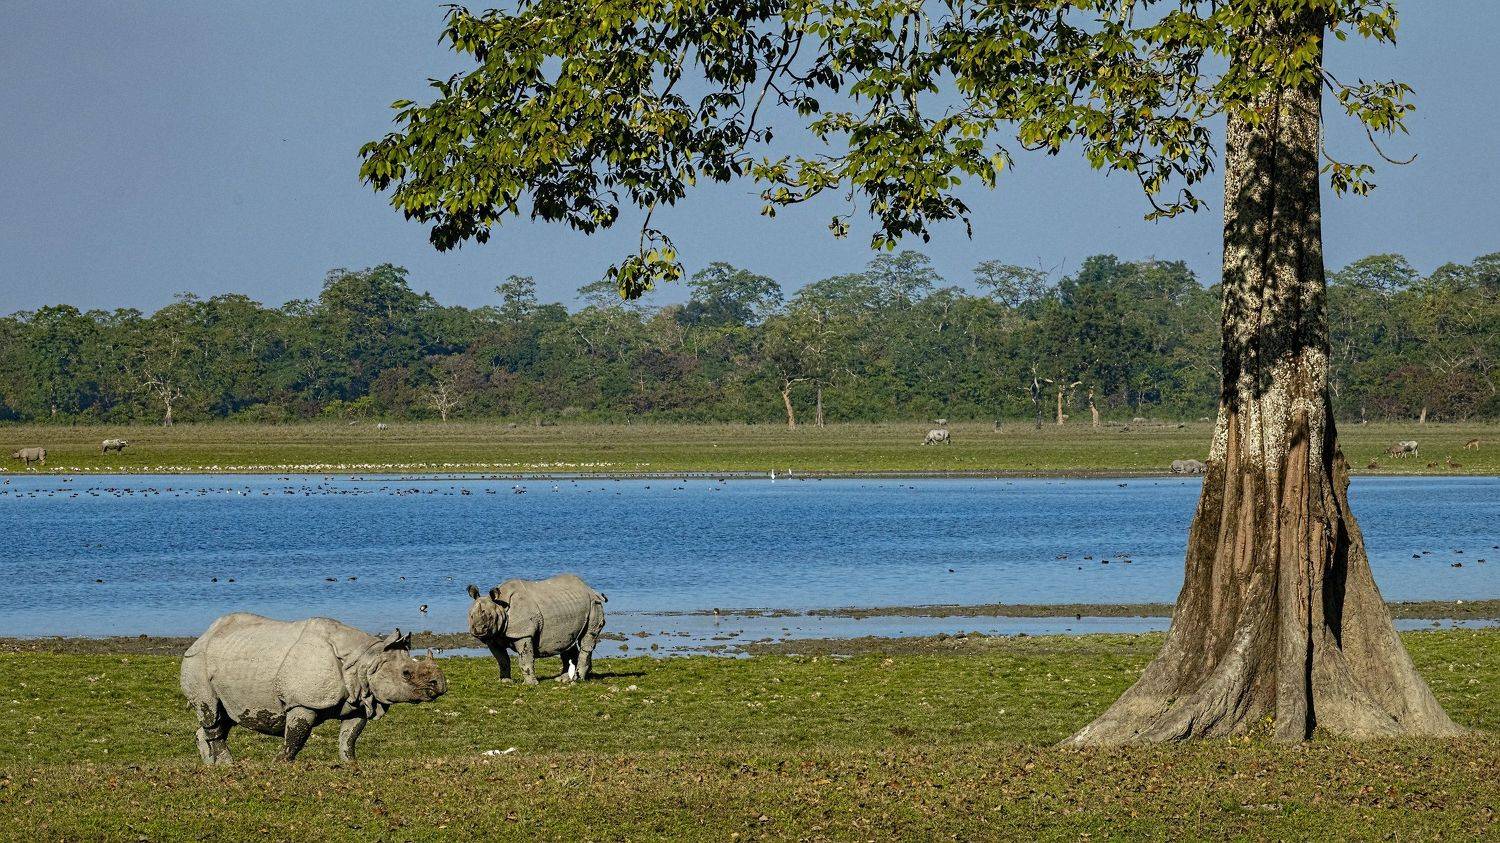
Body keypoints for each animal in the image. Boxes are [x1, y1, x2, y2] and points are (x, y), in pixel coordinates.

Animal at [179, 613, 446, 764]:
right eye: (406, 674)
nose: (441, 686)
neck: (365, 660)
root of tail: (202, 637)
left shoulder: (358, 701)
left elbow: (349, 737)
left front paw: (351, 764)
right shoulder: (303, 702)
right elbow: (296, 737)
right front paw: (280, 763)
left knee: (222, 717)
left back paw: (213, 766)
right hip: (196, 661)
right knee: (211, 712)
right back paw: (228, 764)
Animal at [466, 573, 607, 686]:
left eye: (490, 617)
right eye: (471, 616)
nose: (478, 631)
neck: (501, 606)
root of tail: (590, 588)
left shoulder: (523, 633)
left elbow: (525, 659)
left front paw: (530, 684)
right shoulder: (493, 637)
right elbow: (502, 660)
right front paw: (505, 681)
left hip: (594, 604)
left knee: (587, 640)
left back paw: (577, 680)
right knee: (567, 641)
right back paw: (563, 679)